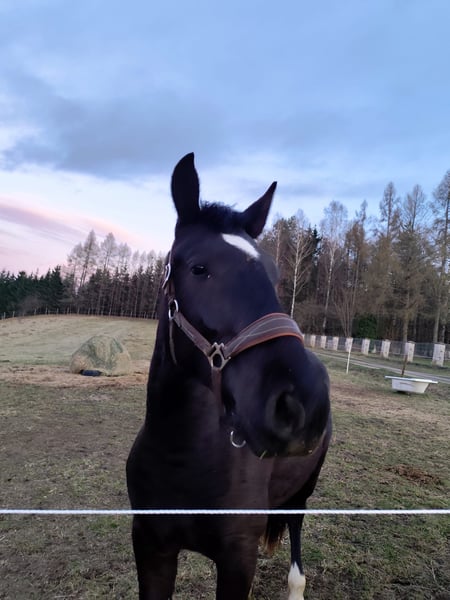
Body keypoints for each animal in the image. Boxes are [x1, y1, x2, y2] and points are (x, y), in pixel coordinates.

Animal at [126, 153, 332, 600]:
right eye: (199, 268)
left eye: (275, 276)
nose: (301, 401)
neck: (182, 456)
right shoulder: (151, 547)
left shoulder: (238, 558)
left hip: (302, 493)